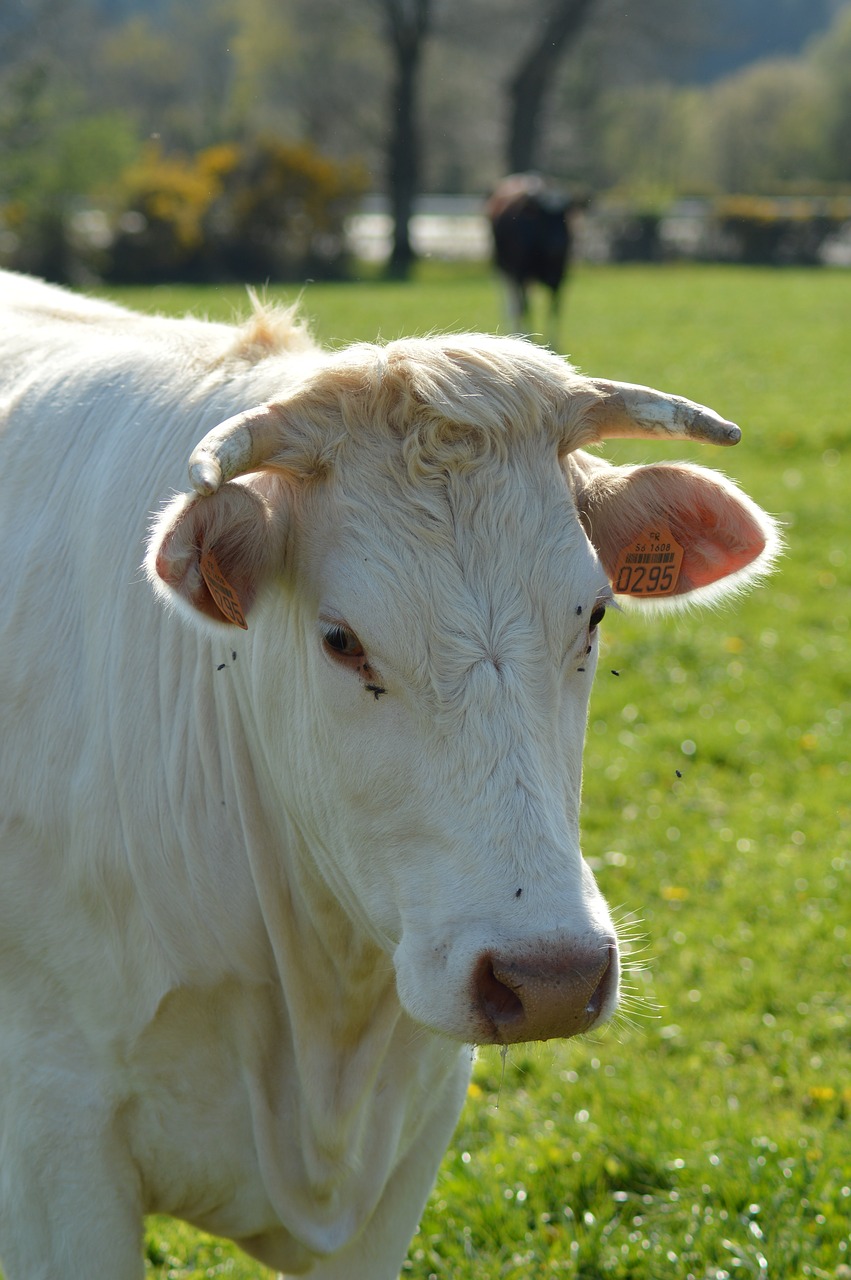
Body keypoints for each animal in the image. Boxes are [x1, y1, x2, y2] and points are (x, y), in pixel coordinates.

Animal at [483, 174, 583, 350]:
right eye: (543, 217)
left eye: (565, 215)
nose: (559, 243)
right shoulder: (520, 273)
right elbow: (525, 307)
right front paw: (527, 339)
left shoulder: (559, 276)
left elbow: (554, 307)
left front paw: (553, 343)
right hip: (501, 266)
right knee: (512, 303)